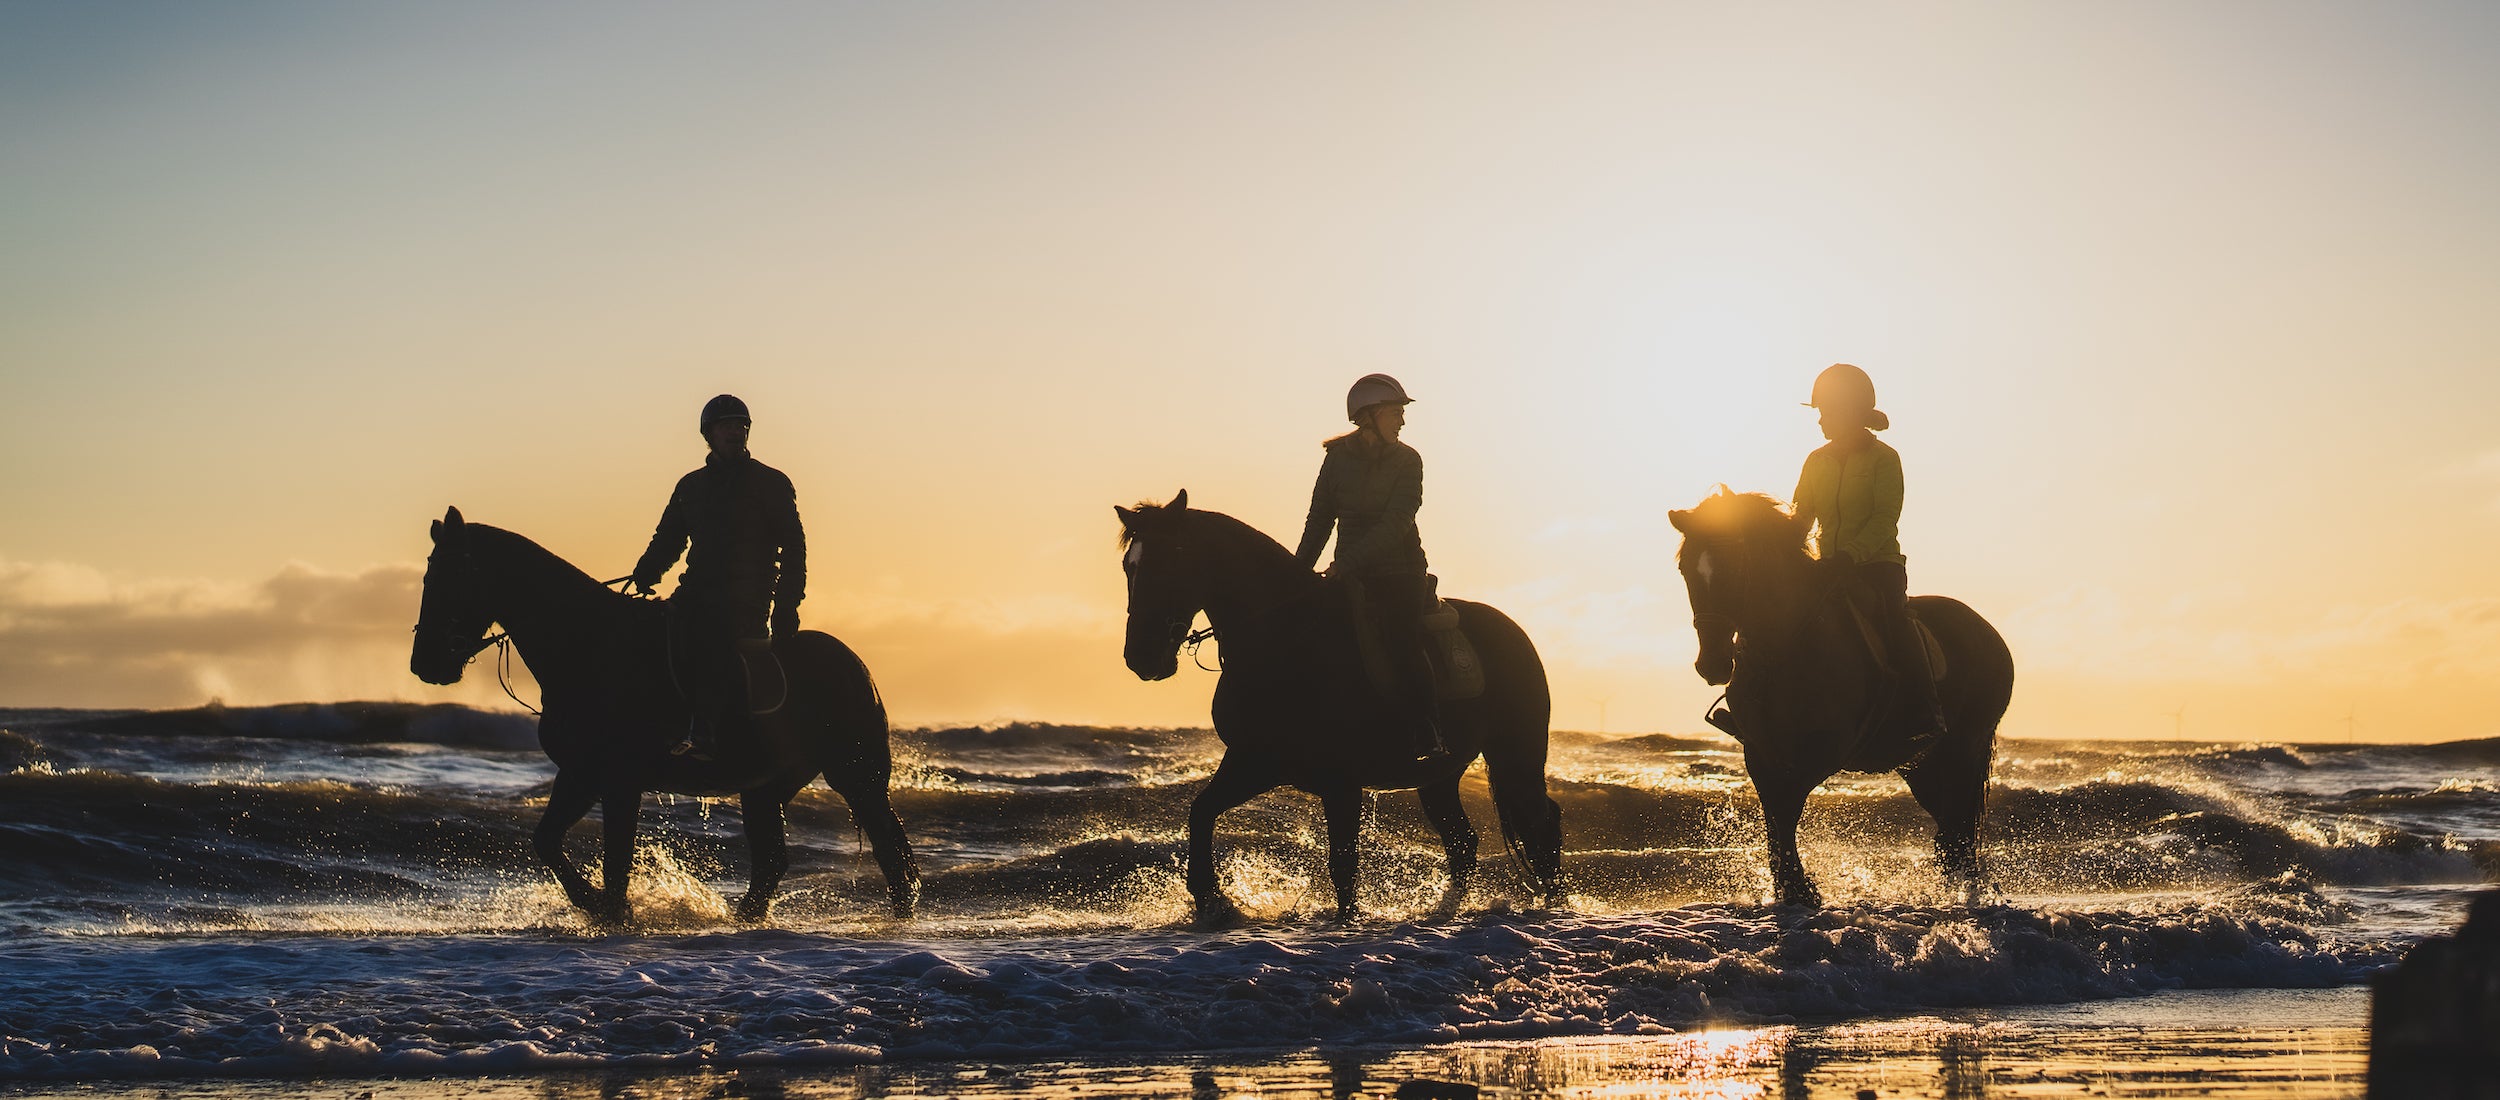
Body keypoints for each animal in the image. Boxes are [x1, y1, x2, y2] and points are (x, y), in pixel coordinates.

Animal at [408, 506, 919, 924]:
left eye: (453, 576)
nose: (424, 664)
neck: (587, 643)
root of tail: (855, 665)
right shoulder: (580, 774)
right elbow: (547, 840)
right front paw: (596, 906)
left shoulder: (618, 779)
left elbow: (616, 861)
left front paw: (613, 911)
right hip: (765, 788)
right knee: (774, 861)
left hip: (857, 776)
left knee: (894, 856)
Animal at [1114, 490, 1565, 925]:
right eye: (1128, 567)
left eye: (1173, 558)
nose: (1141, 658)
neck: (1285, 642)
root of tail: (1515, 632)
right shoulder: (1254, 762)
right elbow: (1201, 811)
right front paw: (1211, 900)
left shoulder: (1340, 782)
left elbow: (1343, 865)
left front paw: (1345, 922)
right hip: (1439, 775)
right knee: (1464, 843)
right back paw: (1448, 911)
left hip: (1516, 755)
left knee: (1541, 821)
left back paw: (1554, 905)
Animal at [1668, 488, 2014, 907]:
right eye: (1686, 569)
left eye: (1736, 566)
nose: (1712, 665)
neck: (1783, 644)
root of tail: (1990, 634)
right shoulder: (1760, 751)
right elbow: (1774, 812)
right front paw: (1790, 888)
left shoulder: (1822, 751)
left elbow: (1786, 805)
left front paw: (1800, 888)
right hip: (1922, 762)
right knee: (1950, 826)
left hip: (1964, 747)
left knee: (1957, 823)